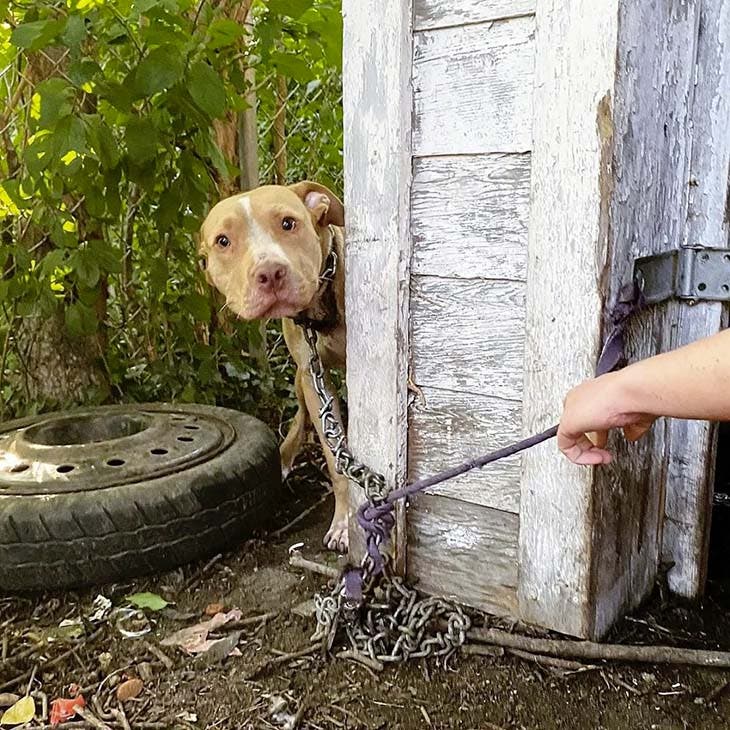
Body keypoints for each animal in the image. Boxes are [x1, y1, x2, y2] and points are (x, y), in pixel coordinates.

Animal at [198, 183, 348, 552]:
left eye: (288, 223)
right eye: (223, 241)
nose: (269, 273)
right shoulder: (313, 377)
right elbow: (335, 458)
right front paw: (345, 520)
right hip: (300, 380)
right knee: (301, 417)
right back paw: (283, 456)